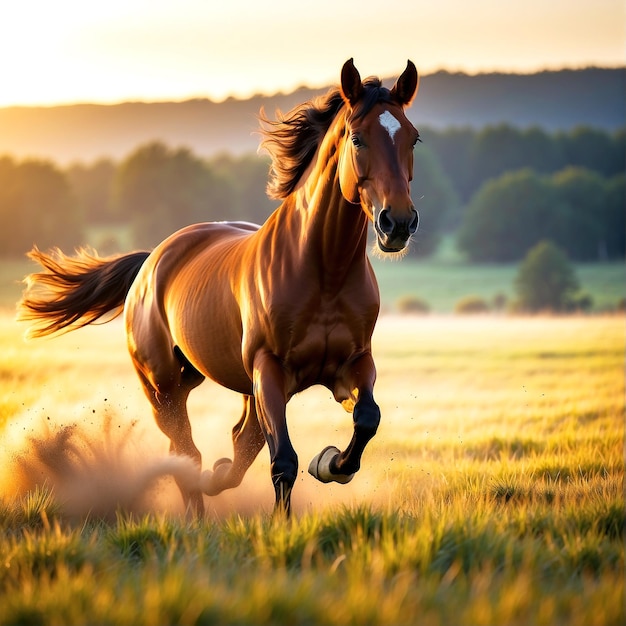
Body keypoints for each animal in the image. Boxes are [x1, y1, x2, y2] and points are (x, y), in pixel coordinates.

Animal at [19, 58, 420, 516]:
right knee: (186, 450)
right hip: (163, 386)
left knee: (236, 442)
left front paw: (331, 463)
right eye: (357, 138)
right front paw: (283, 523)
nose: (398, 223)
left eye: (413, 138)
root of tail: (152, 260)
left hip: (216, 378)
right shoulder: (269, 370)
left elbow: (367, 418)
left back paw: (216, 477)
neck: (325, 271)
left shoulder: (353, 363)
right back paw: (197, 510)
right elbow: (283, 460)